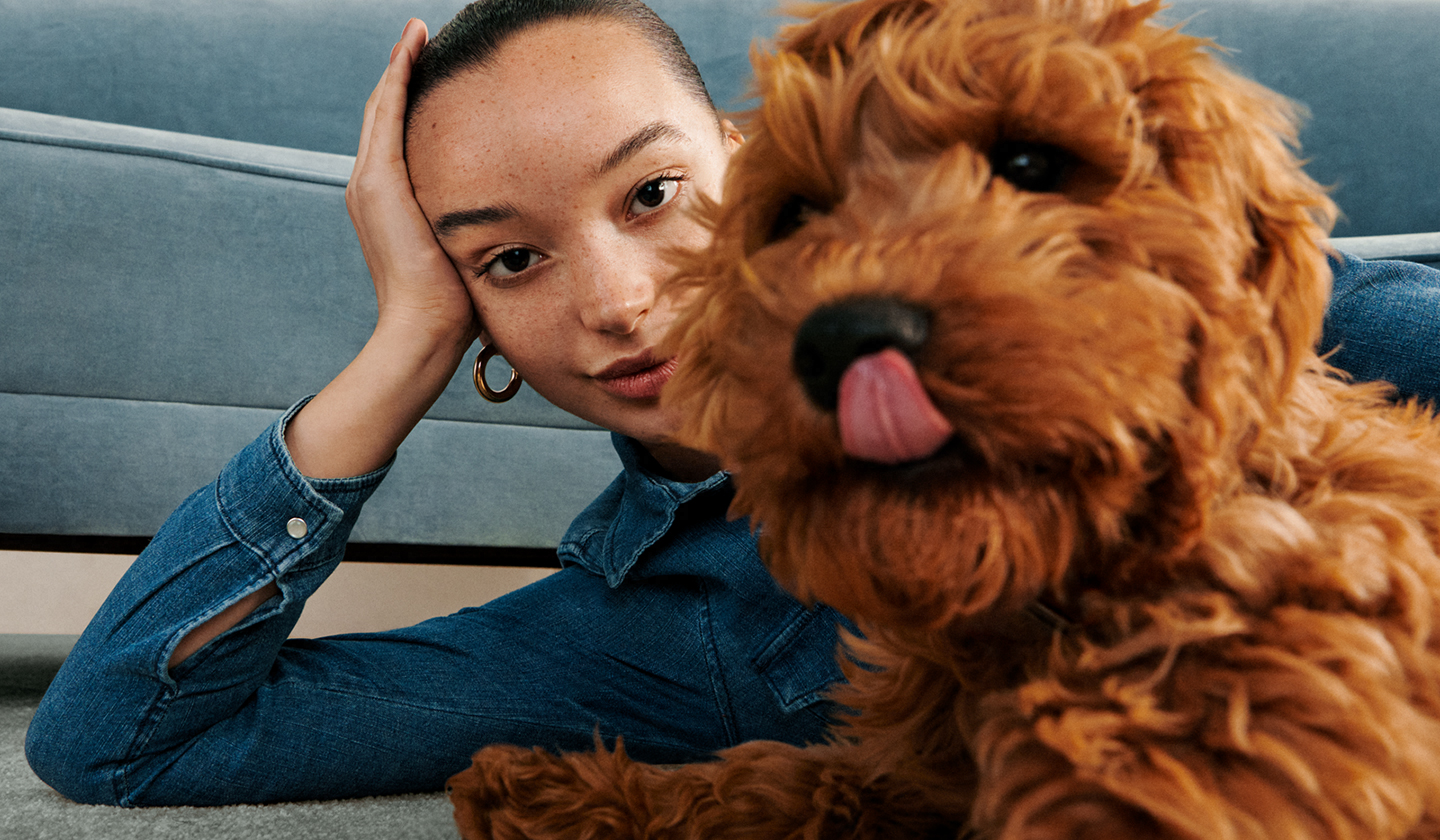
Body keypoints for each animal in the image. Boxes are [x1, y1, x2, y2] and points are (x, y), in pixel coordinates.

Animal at [449, 0, 1440, 835]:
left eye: (1030, 166)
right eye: (797, 213)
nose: (847, 337)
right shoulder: (908, 777)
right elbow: (778, 782)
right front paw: (553, 787)